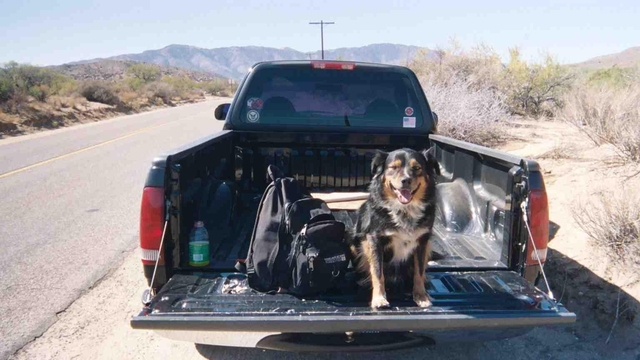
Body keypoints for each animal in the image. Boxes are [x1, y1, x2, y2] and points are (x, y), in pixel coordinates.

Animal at [350, 148, 440, 308]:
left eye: (417, 168)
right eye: (393, 167)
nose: (406, 180)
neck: (405, 210)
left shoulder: (423, 241)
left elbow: (419, 271)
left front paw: (421, 295)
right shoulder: (374, 239)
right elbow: (377, 271)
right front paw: (379, 298)